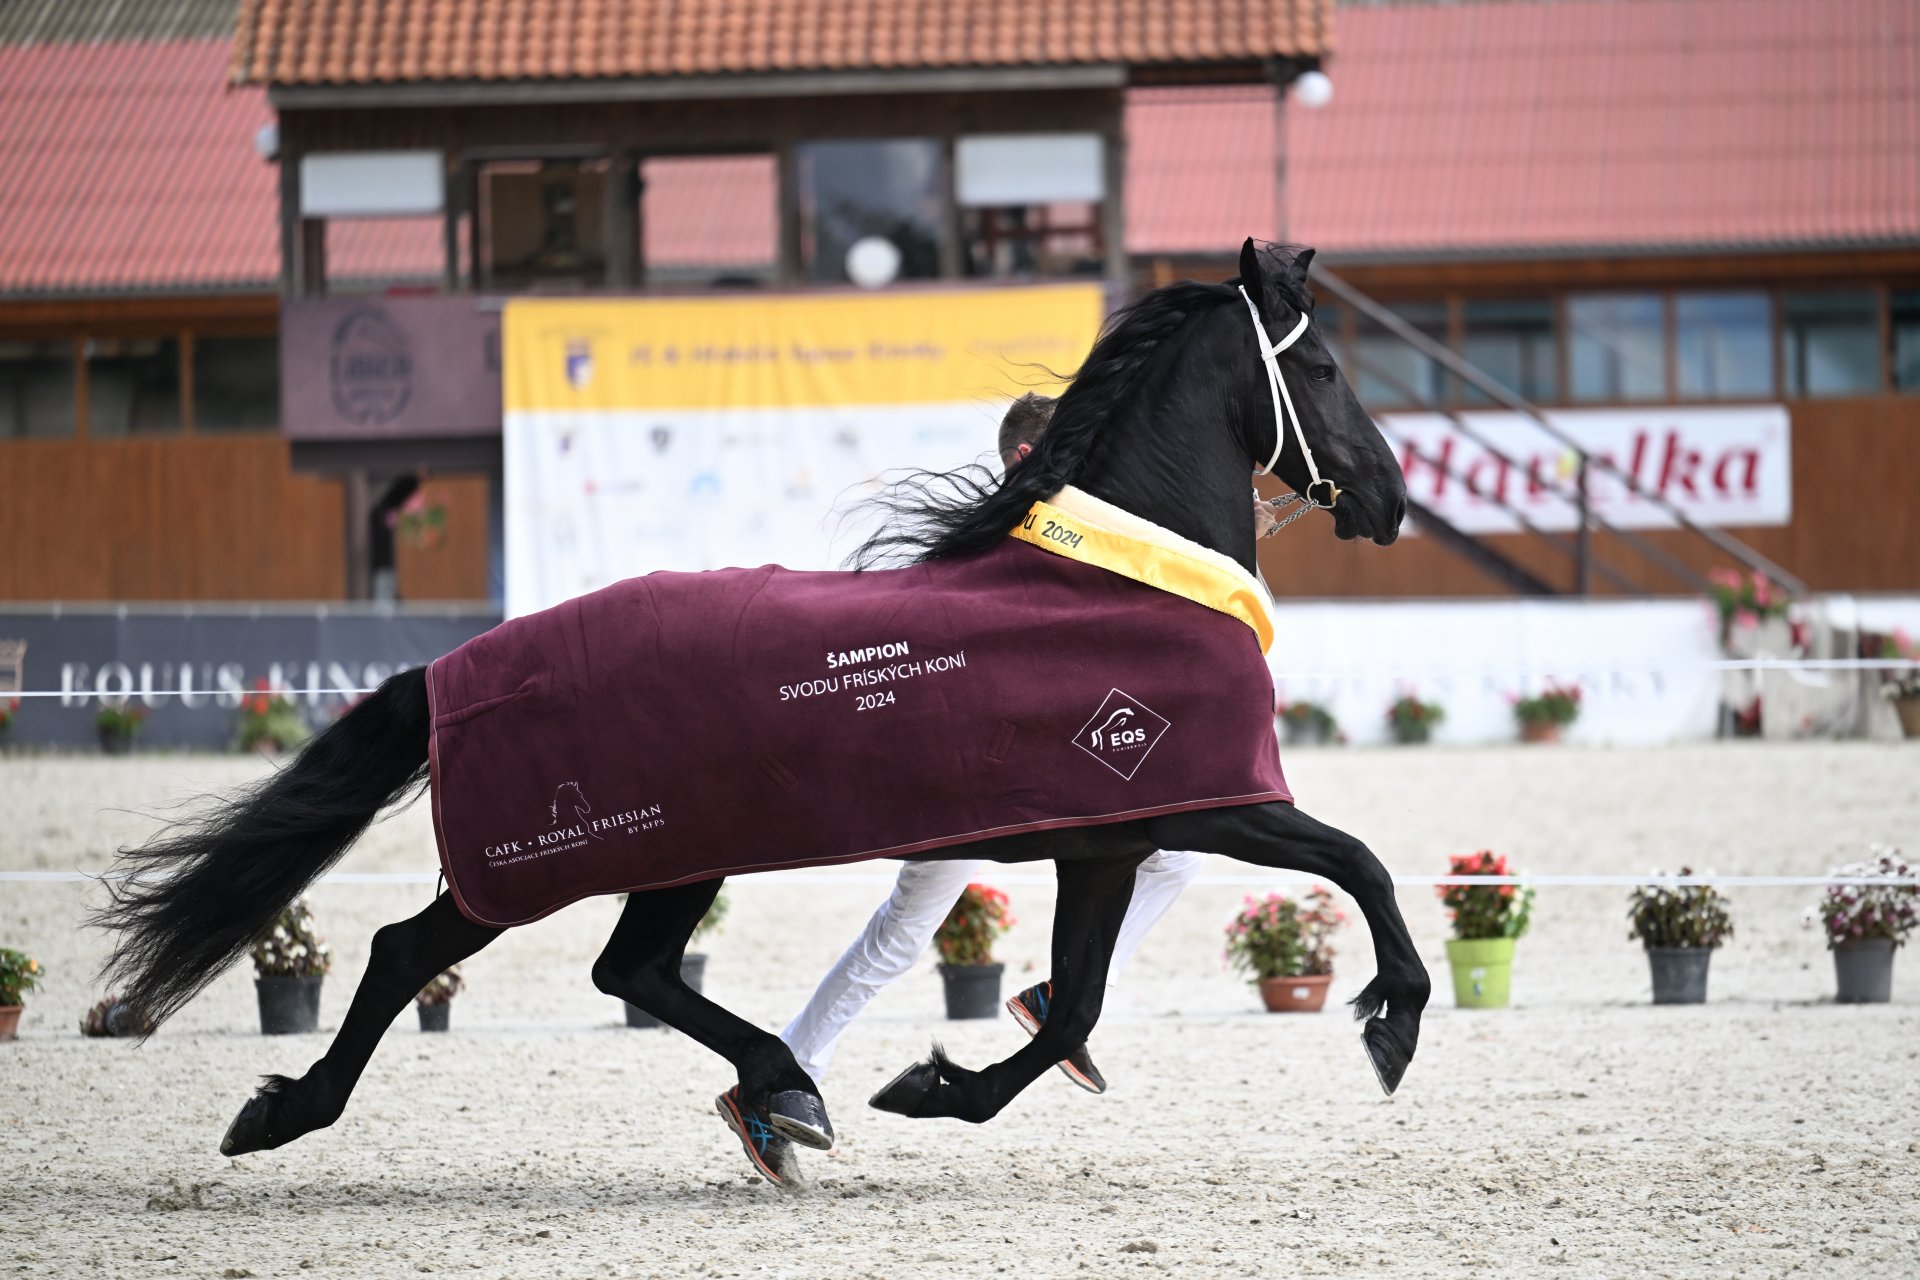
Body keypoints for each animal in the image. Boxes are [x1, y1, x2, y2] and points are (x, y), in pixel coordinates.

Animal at [97, 237, 1436, 1174]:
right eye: (1322, 366)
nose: (1391, 497)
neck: (1119, 579)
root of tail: (456, 671)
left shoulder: (1108, 838)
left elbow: (1074, 1009)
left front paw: (933, 1087)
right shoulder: (1218, 799)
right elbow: (1362, 864)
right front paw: (1392, 1026)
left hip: (663, 856)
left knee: (606, 966)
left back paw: (778, 1089)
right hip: (571, 857)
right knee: (431, 953)